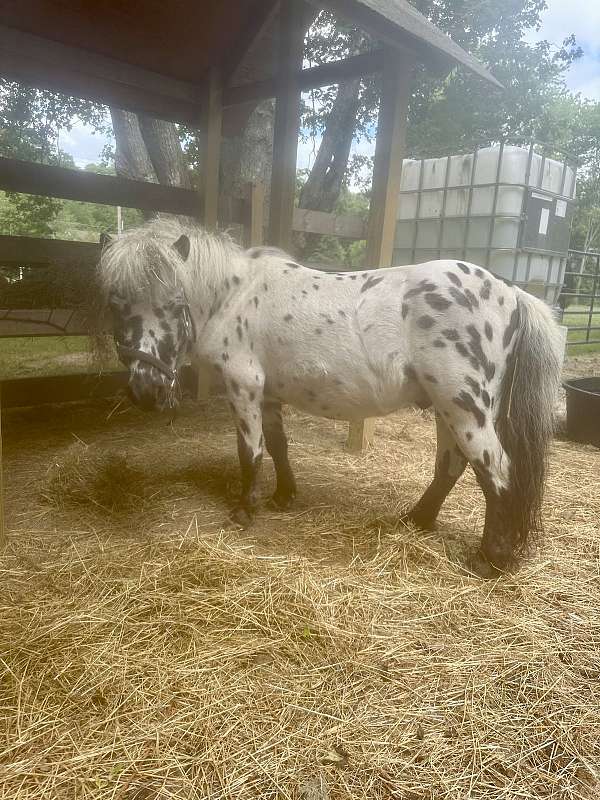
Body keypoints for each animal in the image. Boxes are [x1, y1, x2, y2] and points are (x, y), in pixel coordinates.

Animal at [98, 218, 563, 578]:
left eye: (174, 303)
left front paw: (245, 511)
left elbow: (250, 451)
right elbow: (278, 445)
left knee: (496, 471)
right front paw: (284, 497)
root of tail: (511, 292)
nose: (146, 390)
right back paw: (417, 521)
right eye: (115, 304)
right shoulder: (268, 396)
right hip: (449, 407)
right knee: (452, 464)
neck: (232, 295)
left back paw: (490, 560)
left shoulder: (243, 387)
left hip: (463, 405)